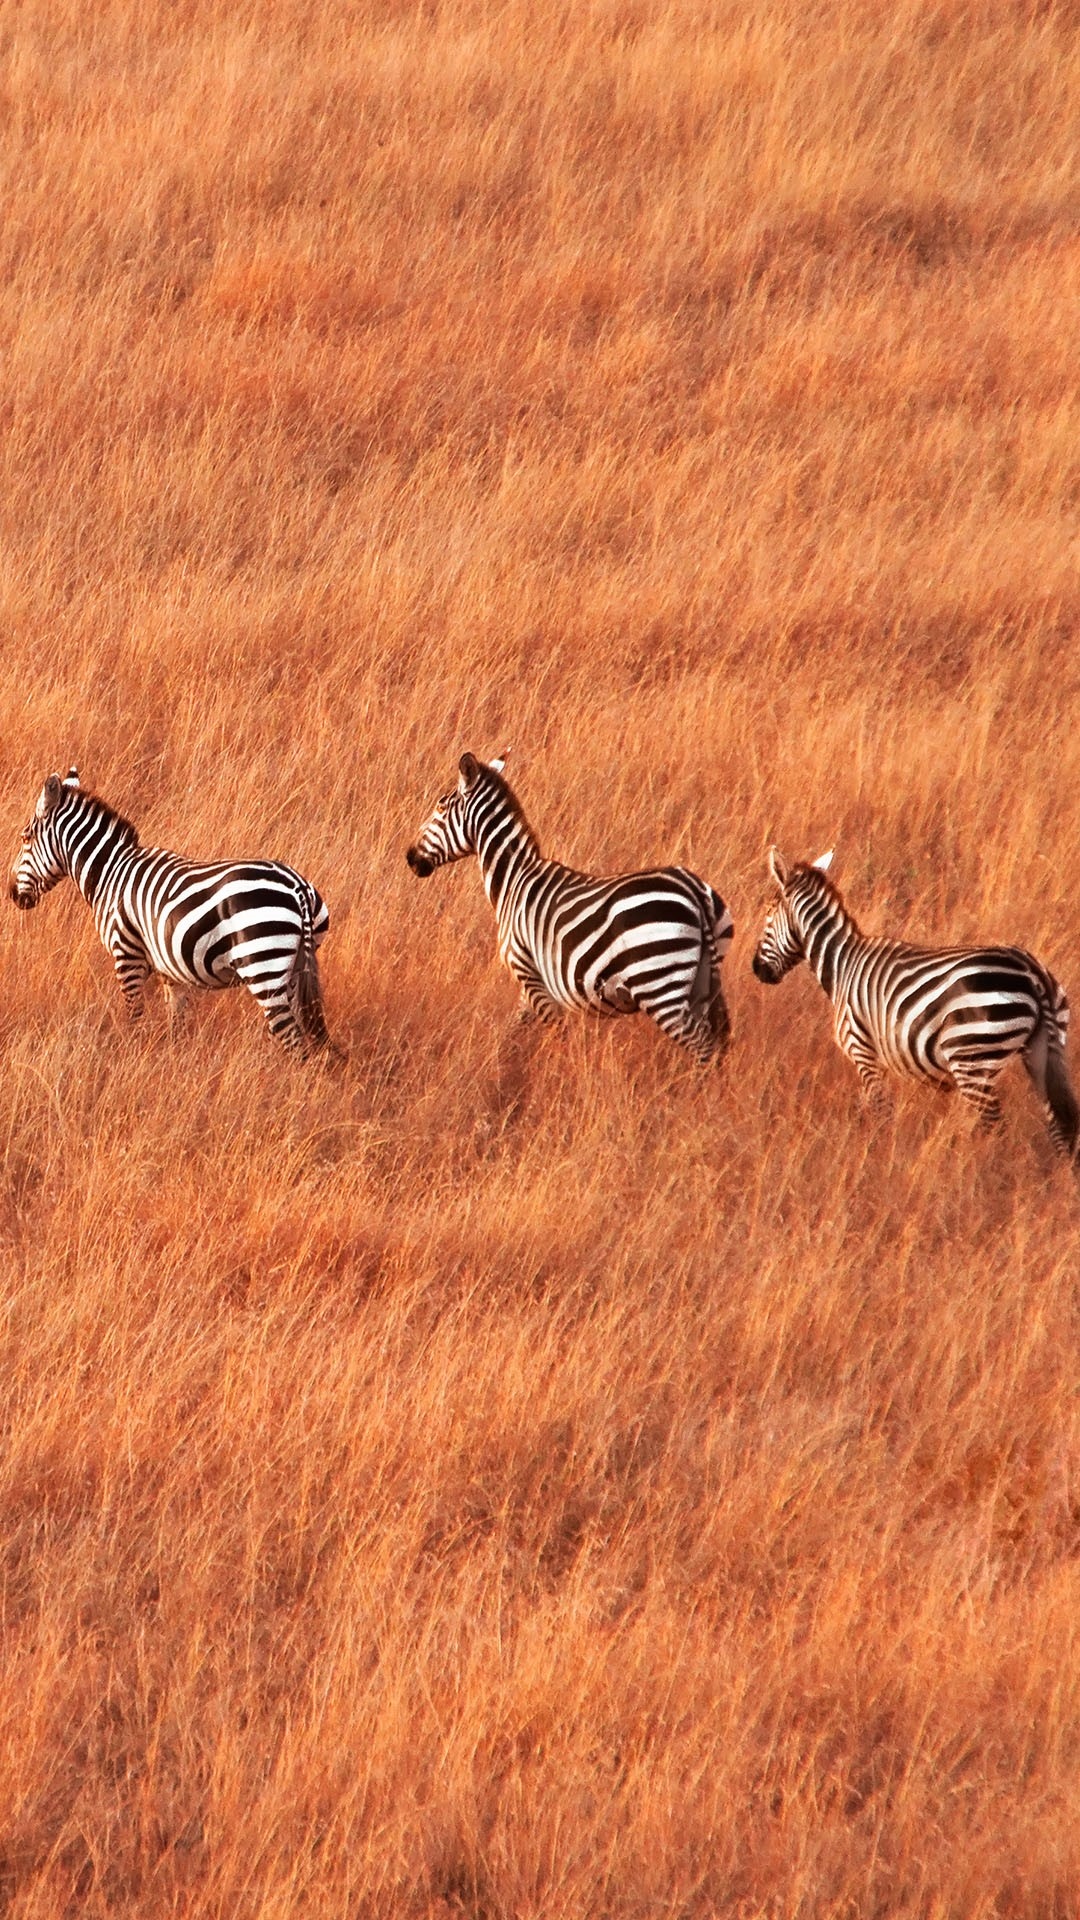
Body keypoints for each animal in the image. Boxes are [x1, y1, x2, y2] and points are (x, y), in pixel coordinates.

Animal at [10, 764, 330, 1059]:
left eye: (25, 838)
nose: (13, 894)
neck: (110, 872)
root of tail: (298, 888)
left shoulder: (127, 954)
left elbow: (135, 1016)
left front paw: (133, 1058)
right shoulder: (170, 970)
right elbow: (177, 1023)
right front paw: (176, 1063)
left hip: (264, 965)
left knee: (291, 1038)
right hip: (293, 968)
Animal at [403, 748, 730, 1059]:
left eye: (440, 808)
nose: (410, 857)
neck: (513, 877)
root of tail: (693, 891)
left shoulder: (527, 970)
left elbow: (556, 1033)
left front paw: (555, 1068)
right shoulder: (532, 981)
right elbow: (516, 1026)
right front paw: (500, 1056)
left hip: (659, 985)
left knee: (702, 1045)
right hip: (700, 980)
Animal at [749, 852, 1076, 1152]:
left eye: (767, 917)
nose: (757, 970)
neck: (841, 965)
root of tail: (1032, 973)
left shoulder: (862, 1051)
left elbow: (880, 1110)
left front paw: (879, 1155)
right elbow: (868, 1108)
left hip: (972, 1057)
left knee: (994, 1125)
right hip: (1041, 1051)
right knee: (1058, 1127)